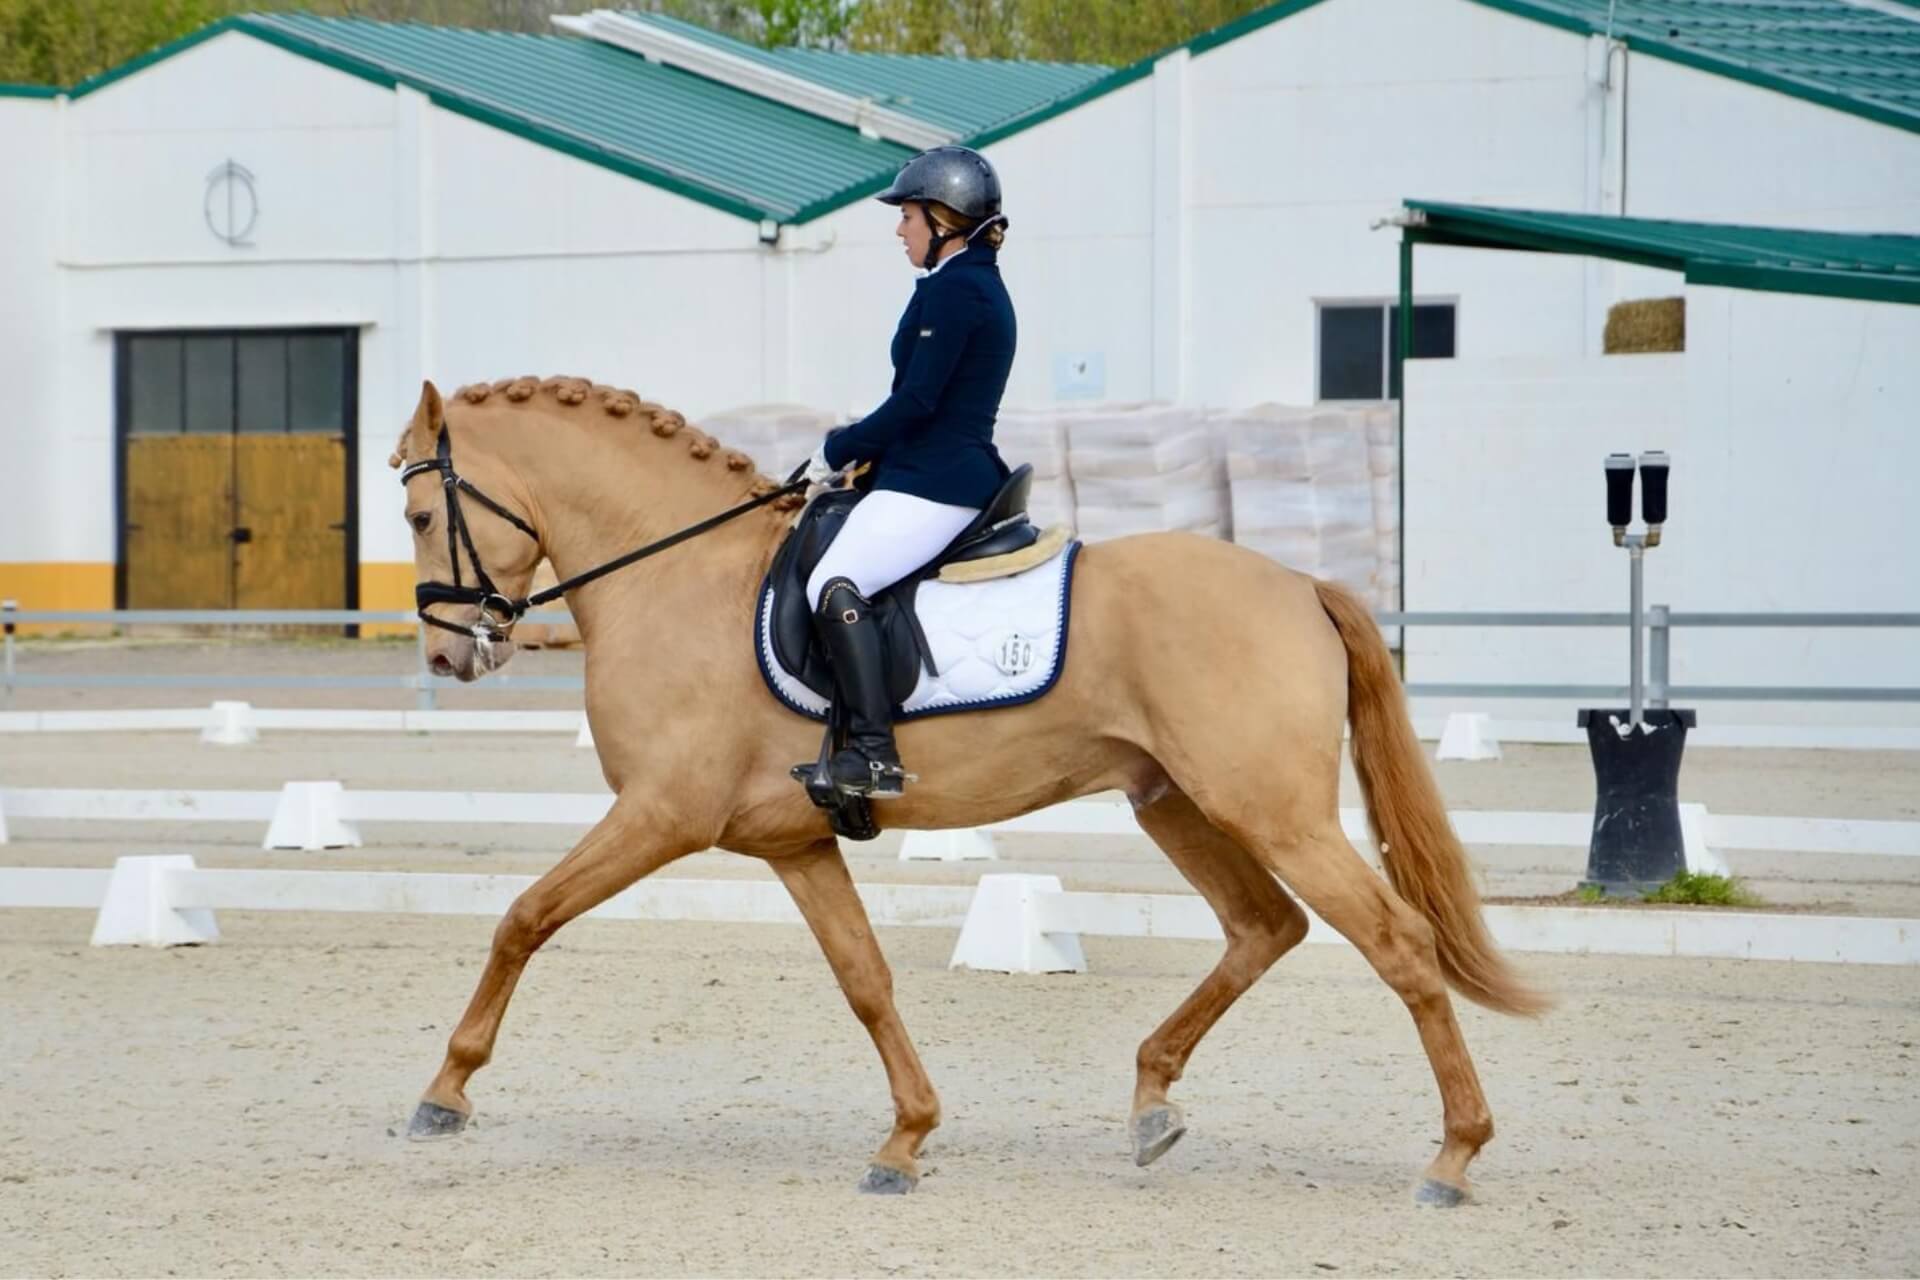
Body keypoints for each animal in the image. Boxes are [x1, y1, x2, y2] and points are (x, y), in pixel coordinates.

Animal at [389, 376, 1543, 1205]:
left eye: (415, 513)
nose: (448, 657)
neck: (681, 576)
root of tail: (1299, 582)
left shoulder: (661, 815)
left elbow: (524, 915)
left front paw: (444, 1090)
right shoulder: (792, 842)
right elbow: (866, 981)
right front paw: (905, 1139)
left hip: (1271, 809)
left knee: (1396, 943)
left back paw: (1455, 1156)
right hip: (1177, 801)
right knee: (1265, 927)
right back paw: (1151, 1105)